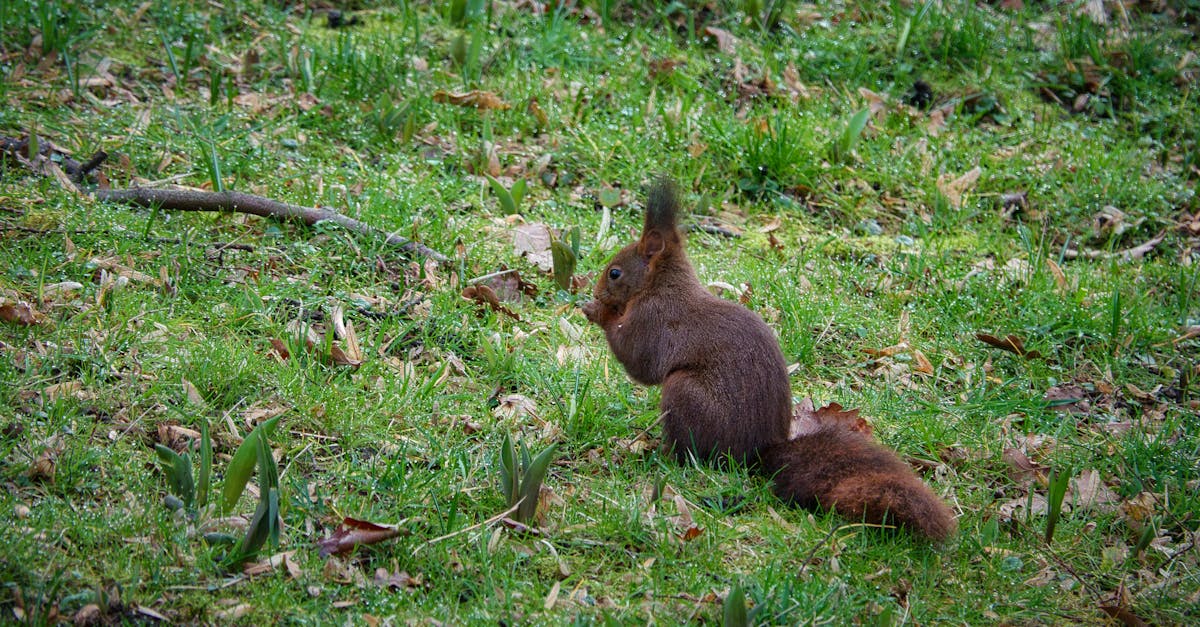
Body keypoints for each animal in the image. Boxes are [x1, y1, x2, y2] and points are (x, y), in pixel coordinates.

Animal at [580, 177, 955, 538]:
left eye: (614, 273)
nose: (596, 291)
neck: (661, 285)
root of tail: (759, 451)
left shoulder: (654, 320)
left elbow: (640, 362)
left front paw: (597, 312)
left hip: (685, 393)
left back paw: (660, 454)